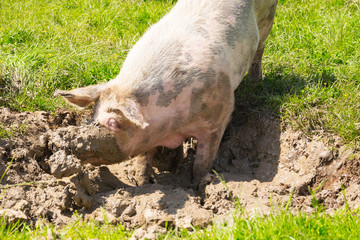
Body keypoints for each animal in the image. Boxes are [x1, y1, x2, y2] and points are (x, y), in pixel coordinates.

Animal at [54, 0, 278, 184]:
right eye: (93, 116)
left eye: (114, 123)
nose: (67, 139)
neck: (170, 127)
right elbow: (143, 158)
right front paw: (143, 182)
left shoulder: (218, 117)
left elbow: (203, 161)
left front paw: (199, 185)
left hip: (268, 18)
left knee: (259, 50)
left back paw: (256, 81)